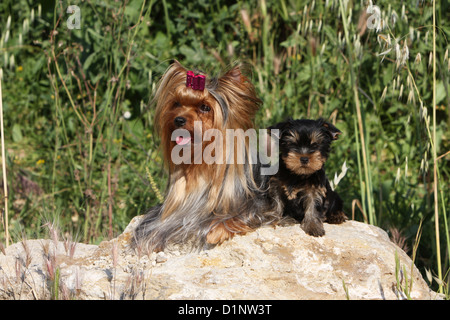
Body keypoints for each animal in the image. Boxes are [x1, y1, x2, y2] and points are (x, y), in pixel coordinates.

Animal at [133, 60, 282, 252]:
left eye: (205, 107)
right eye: (176, 103)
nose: (179, 120)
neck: (200, 166)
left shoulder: (256, 206)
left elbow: (235, 217)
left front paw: (216, 231)